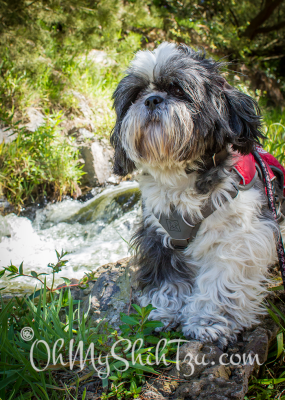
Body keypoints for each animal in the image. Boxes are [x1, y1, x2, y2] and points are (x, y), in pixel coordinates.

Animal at [109, 42, 284, 346]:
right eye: (136, 94)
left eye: (178, 90)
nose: (152, 100)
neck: (179, 178)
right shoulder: (157, 233)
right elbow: (166, 276)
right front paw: (162, 312)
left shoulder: (241, 237)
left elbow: (222, 277)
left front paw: (209, 321)